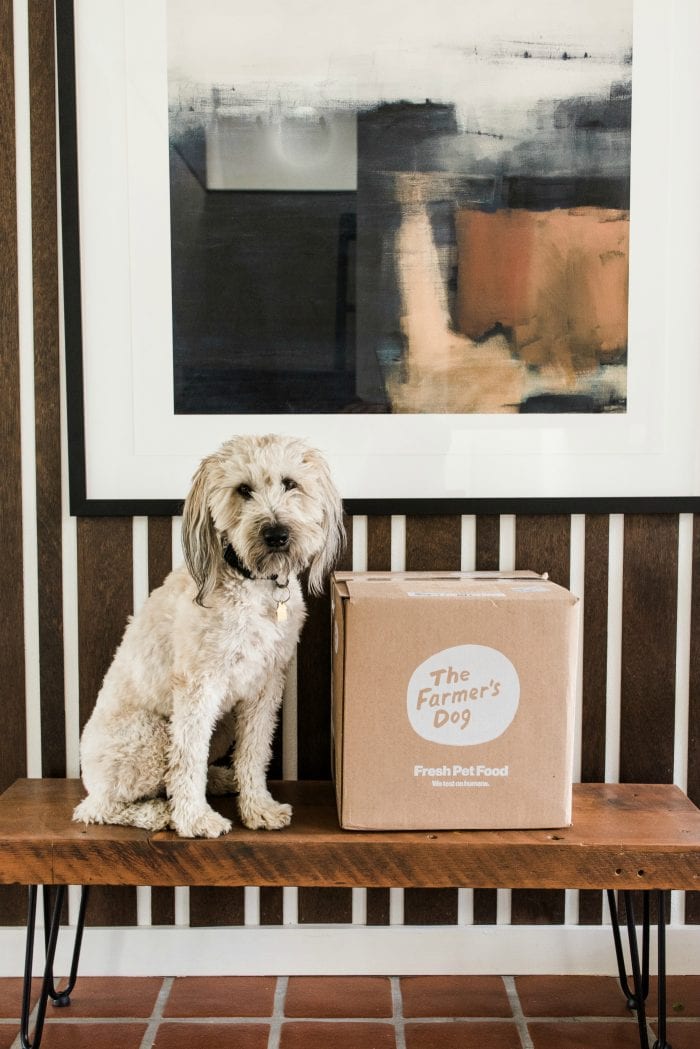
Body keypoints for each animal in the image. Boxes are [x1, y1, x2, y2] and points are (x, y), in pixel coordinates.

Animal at [71, 432, 344, 835]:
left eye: (290, 483)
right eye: (243, 489)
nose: (276, 534)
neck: (255, 585)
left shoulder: (266, 685)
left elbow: (255, 751)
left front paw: (258, 807)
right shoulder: (198, 684)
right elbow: (188, 757)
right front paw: (194, 819)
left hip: (223, 724)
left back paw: (221, 779)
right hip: (148, 737)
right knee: (97, 807)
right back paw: (159, 813)